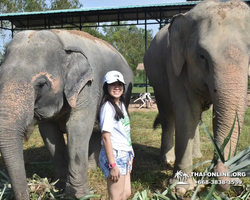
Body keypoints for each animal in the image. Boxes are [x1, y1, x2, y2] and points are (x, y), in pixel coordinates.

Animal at [0, 28, 134, 199]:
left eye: (41, 84)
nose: (32, 192)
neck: (60, 39)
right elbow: (50, 135)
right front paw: (58, 187)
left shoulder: (88, 87)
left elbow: (77, 129)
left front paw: (77, 195)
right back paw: (90, 168)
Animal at [144, 0, 250, 195]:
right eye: (202, 56)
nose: (213, 179)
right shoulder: (175, 65)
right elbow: (186, 115)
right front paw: (181, 189)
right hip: (156, 81)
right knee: (168, 115)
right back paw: (167, 160)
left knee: (198, 118)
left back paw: (197, 156)